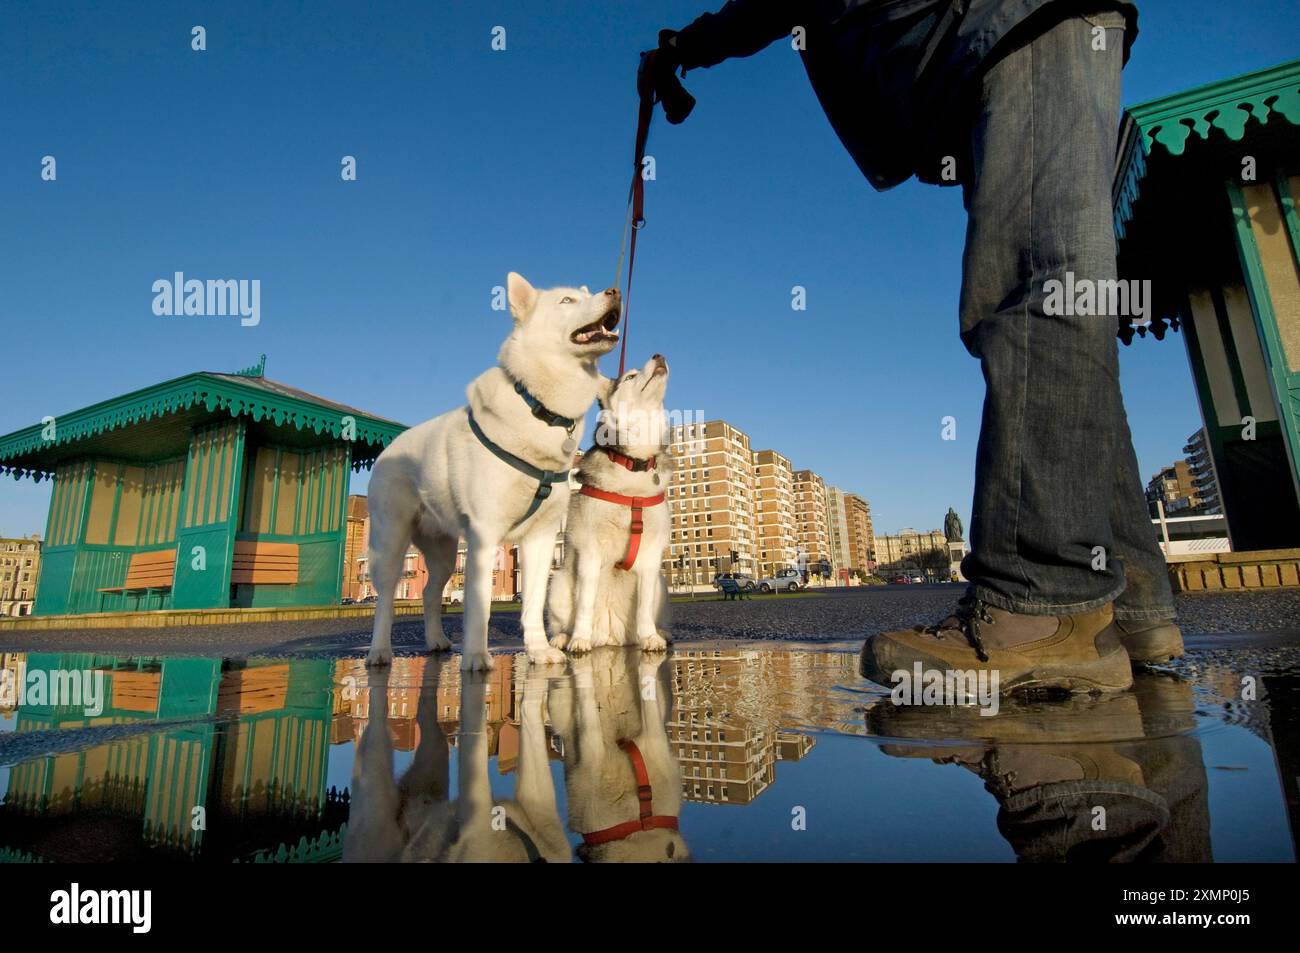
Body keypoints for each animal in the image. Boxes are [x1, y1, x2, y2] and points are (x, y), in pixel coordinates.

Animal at [364, 271, 621, 670]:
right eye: (566, 301)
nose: (615, 291)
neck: (541, 408)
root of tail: (390, 447)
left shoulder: (541, 537)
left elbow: (533, 602)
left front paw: (539, 650)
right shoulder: (484, 537)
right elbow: (478, 604)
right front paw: (474, 658)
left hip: (442, 551)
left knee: (429, 592)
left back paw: (436, 641)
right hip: (392, 539)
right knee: (386, 597)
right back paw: (379, 651)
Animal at [546, 351, 670, 655]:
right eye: (630, 376)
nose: (659, 355)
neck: (633, 464)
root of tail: (613, 637)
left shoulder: (651, 556)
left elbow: (644, 606)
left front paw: (650, 637)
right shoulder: (590, 550)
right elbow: (586, 603)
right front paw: (579, 638)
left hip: (662, 587)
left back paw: (657, 632)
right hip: (558, 586)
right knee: (564, 619)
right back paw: (564, 637)